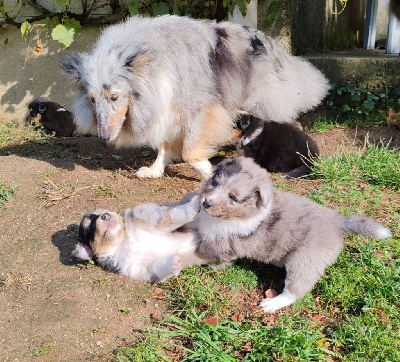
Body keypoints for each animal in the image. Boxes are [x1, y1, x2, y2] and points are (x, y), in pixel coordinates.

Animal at [59, 15, 328, 180]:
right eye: (92, 100)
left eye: (114, 97)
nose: (103, 138)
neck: (158, 68)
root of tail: (268, 40)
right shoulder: (168, 107)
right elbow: (164, 144)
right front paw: (155, 170)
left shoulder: (201, 108)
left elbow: (189, 151)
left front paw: (209, 170)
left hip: (264, 99)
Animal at [72, 195, 208, 282]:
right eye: (91, 227)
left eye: (104, 211)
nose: (105, 215)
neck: (124, 240)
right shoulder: (140, 269)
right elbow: (158, 268)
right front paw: (174, 262)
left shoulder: (152, 218)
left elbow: (176, 215)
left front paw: (195, 203)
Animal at [195, 157, 392, 312]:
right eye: (215, 182)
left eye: (233, 198)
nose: (205, 203)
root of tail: (338, 222)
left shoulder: (229, 243)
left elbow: (217, 253)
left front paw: (211, 265)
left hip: (304, 262)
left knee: (295, 291)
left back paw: (272, 304)